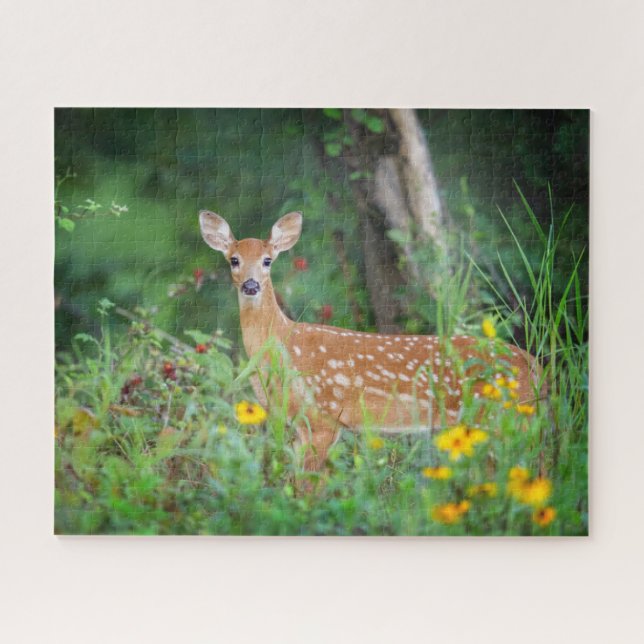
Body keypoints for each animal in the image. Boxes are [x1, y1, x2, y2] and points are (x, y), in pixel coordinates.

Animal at [199, 210, 544, 472]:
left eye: (268, 260)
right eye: (233, 259)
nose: (251, 285)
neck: (283, 343)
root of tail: (536, 367)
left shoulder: (324, 416)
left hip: (504, 416)